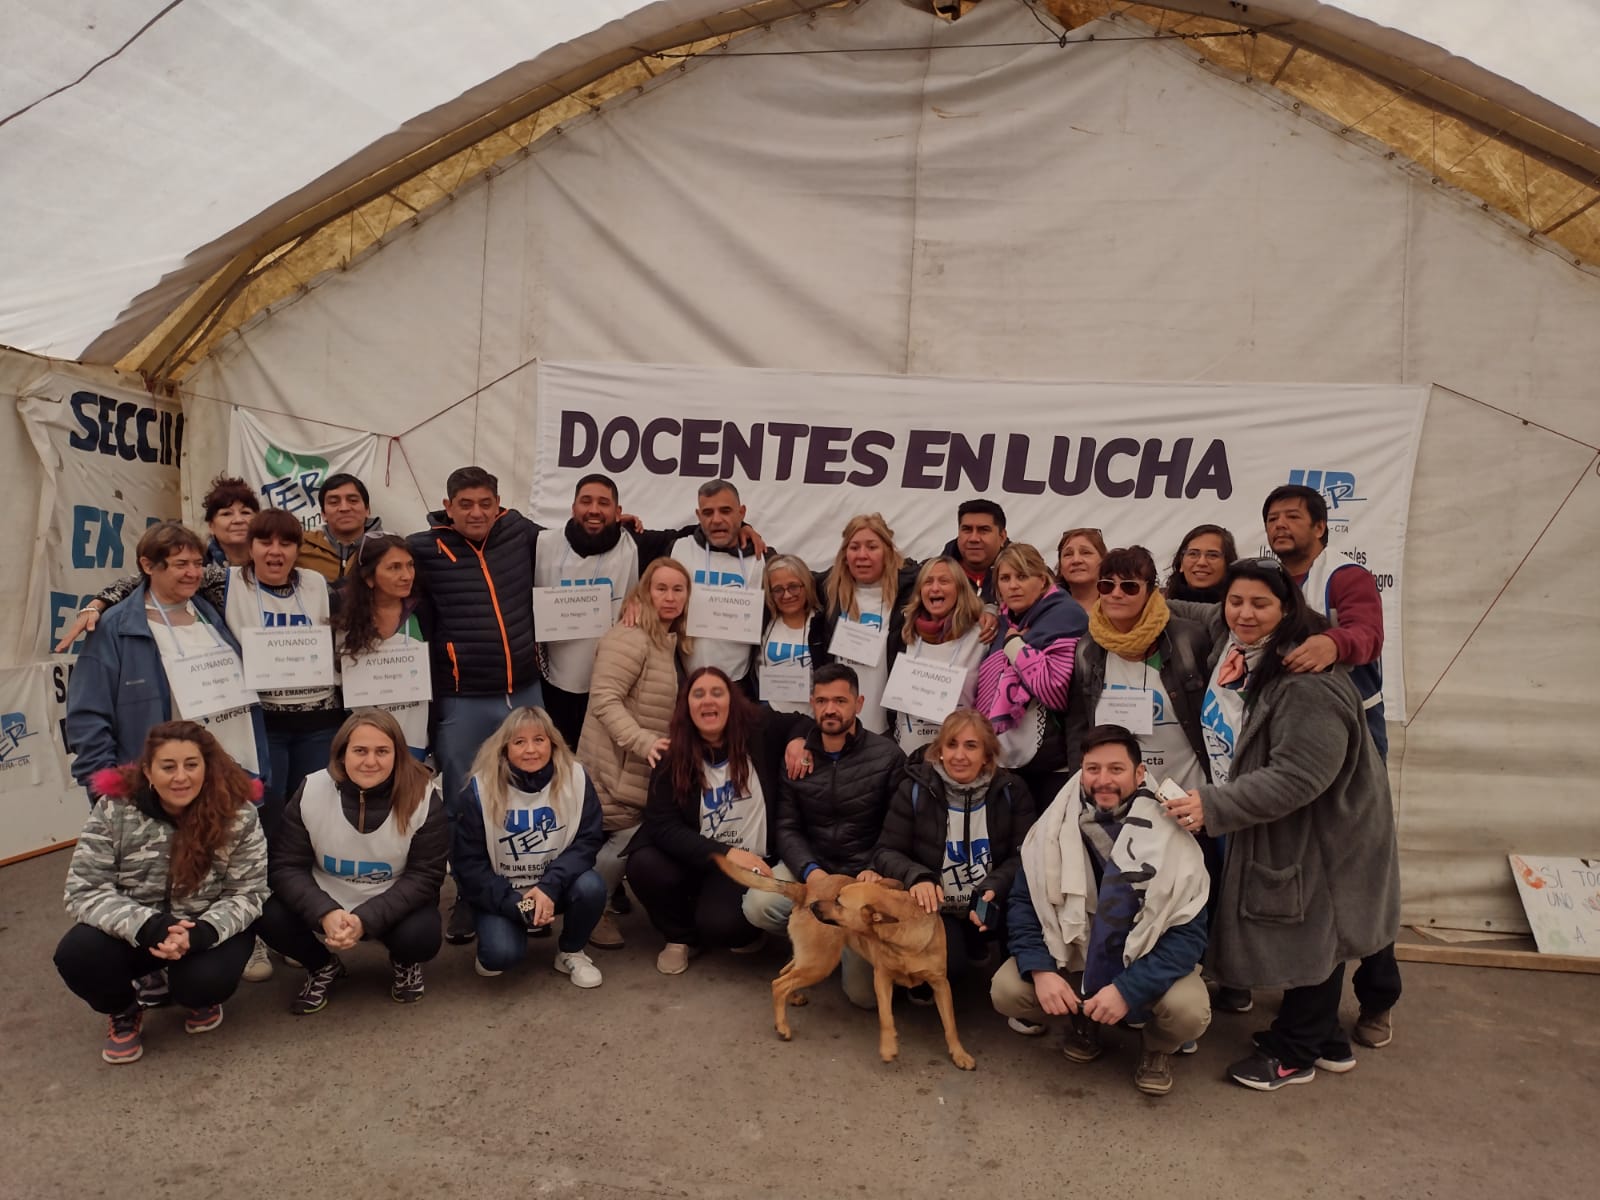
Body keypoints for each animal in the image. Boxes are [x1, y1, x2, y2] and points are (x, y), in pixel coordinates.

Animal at [716, 857, 972, 1075]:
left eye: (839, 903)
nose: (814, 906)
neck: (903, 937)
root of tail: (806, 890)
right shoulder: (882, 978)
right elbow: (886, 1017)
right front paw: (888, 1047)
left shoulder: (941, 984)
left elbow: (951, 1025)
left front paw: (959, 1054)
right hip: (820, 962)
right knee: (779, 983)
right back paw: (783, 1026)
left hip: (811, 958)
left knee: (783, 973)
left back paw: (793, 998)